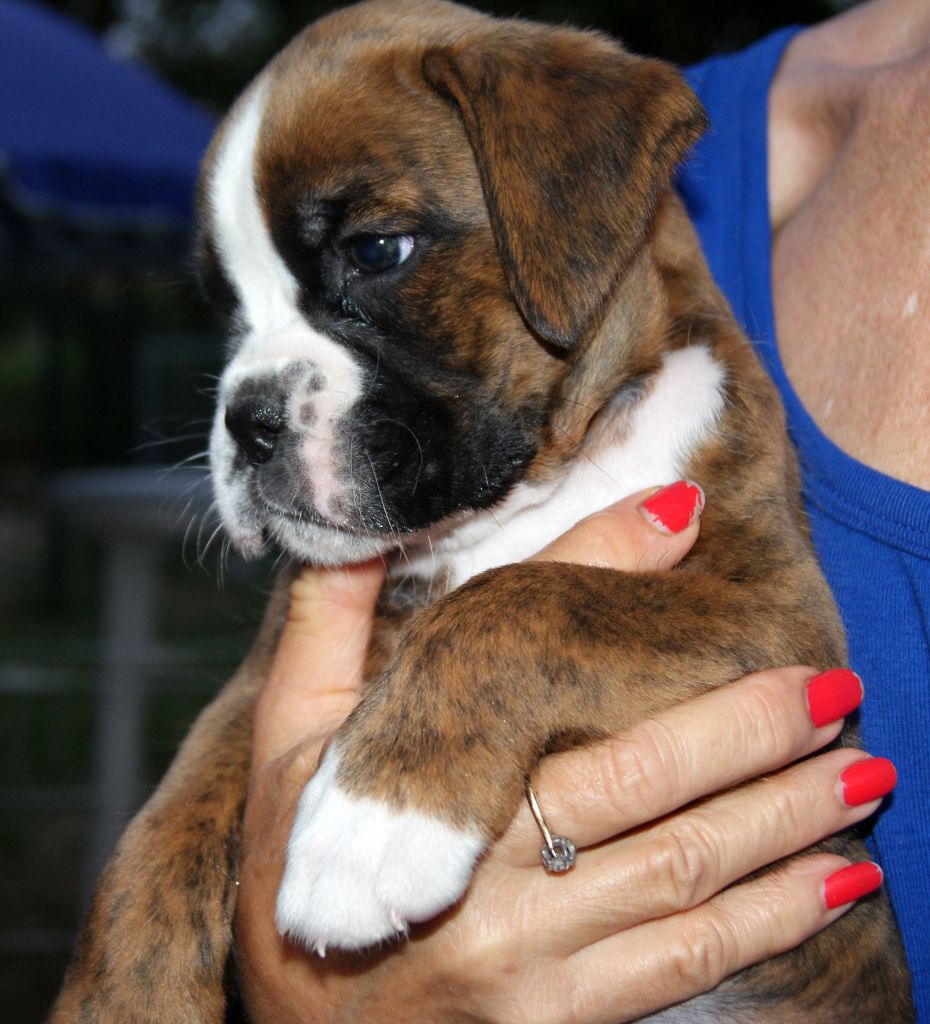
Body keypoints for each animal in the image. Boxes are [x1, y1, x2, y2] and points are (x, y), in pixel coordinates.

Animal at [49, 1, 914, 1021]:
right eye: (224, 304)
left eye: (376, 252)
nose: (247, 418)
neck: (522, 494)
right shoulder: (259, 679)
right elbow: (168, 813)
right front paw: (118, 995)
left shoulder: (782, 623)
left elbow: (517, 604)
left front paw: (374, 821)